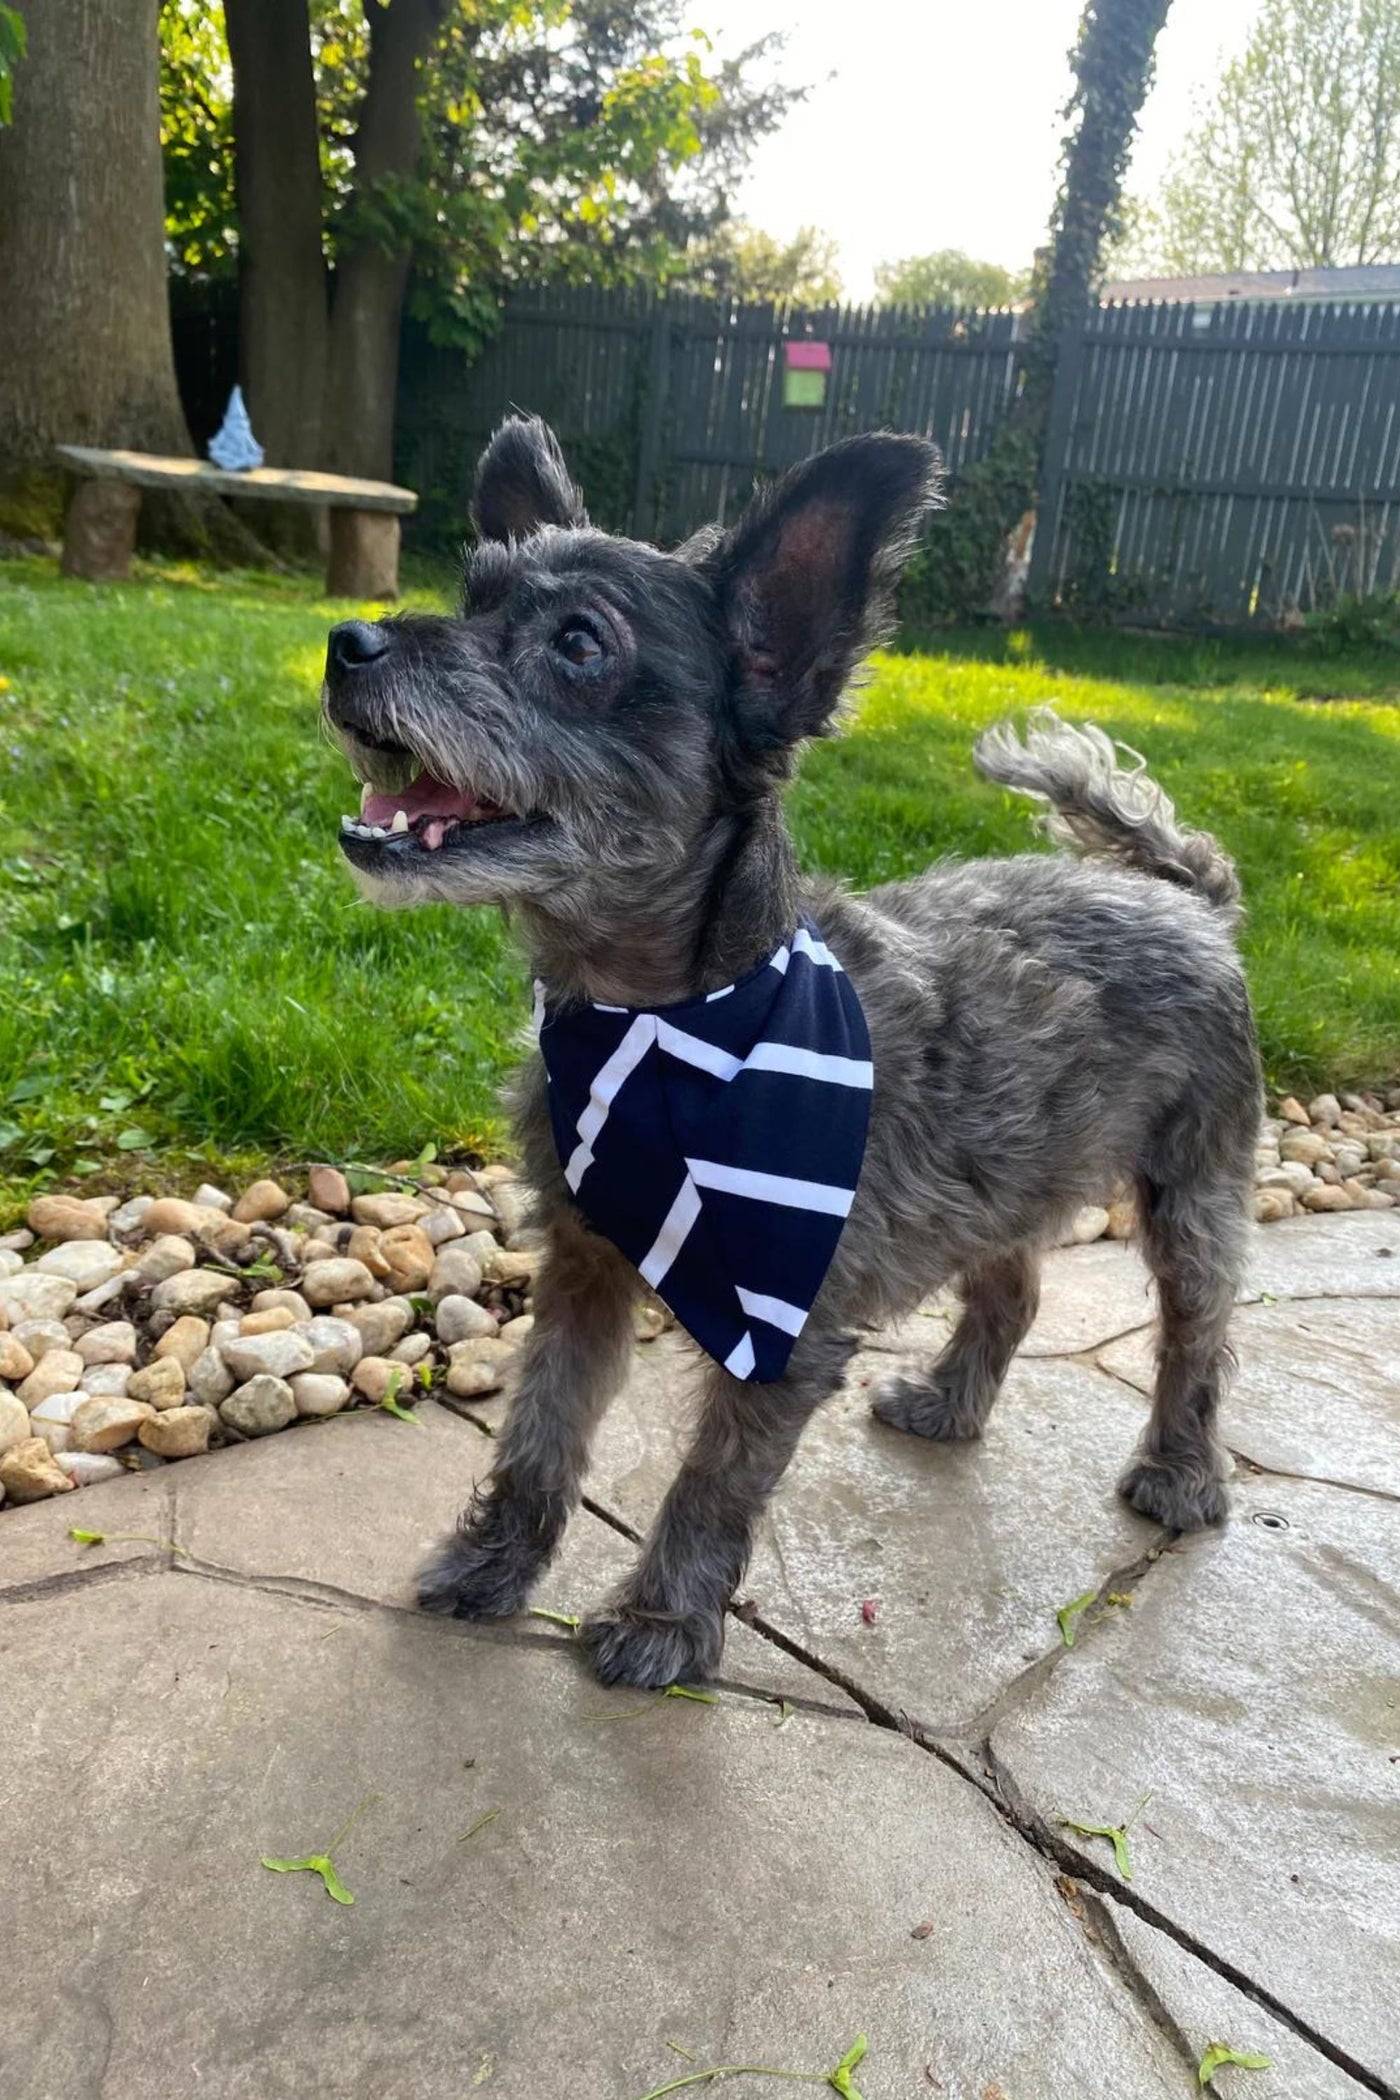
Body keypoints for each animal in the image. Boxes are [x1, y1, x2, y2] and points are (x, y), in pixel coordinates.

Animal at [323, 417, 1267, 1696]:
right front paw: (494, 1563)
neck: (662, 1021)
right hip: (1002, 1178)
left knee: (1197, 1335)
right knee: (1013, 1292)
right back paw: (951, 1404)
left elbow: (712, 1478)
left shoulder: (788, 1315)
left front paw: (663, 1622)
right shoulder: (584, 1265)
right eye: (472, 592)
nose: (347, 642)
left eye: (578, 643)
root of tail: (1185, 898)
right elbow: (539, 1431)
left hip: (1192, 1193)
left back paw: (1179, 1473)